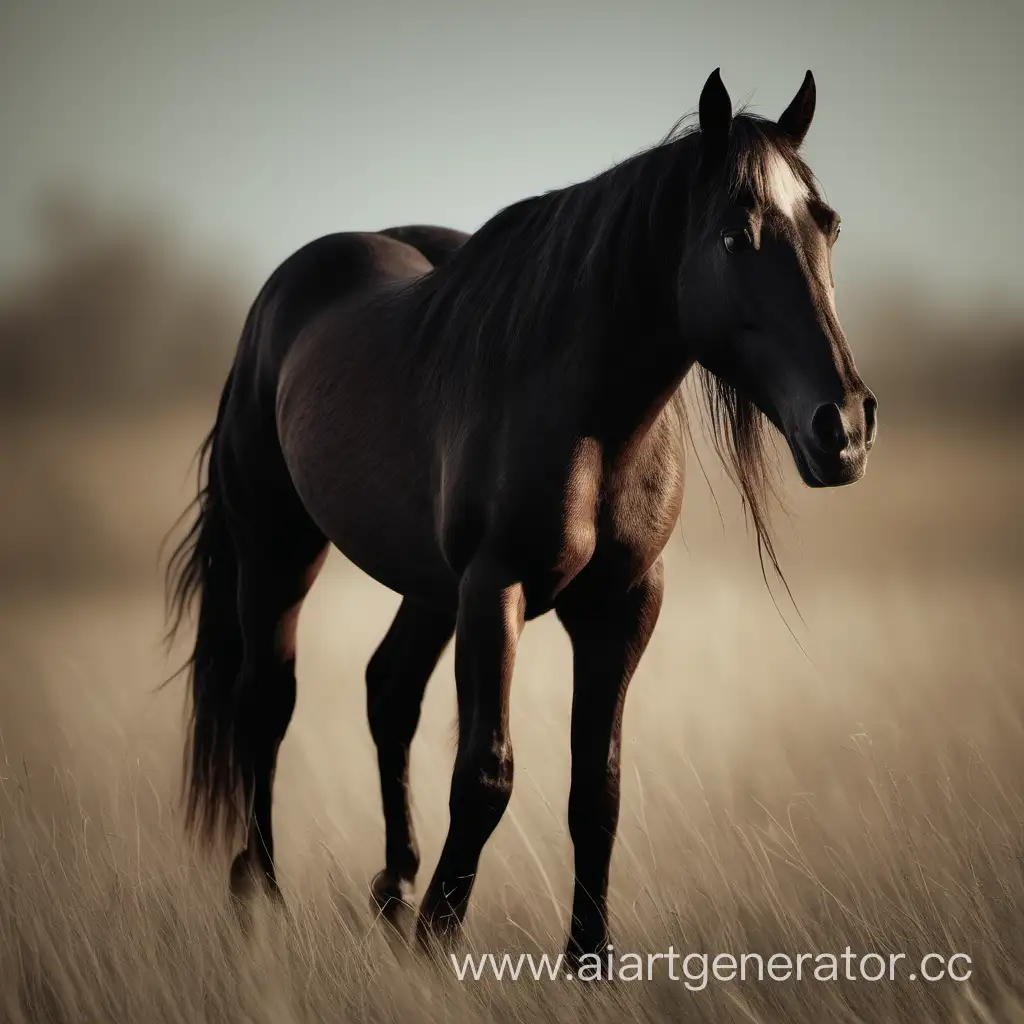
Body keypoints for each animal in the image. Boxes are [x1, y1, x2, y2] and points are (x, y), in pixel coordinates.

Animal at [163, 66, 876, 958]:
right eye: (732, 237)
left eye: (829, 223)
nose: (843, 427)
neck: (589, 415)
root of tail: (282, 294)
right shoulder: (494, 588)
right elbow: (485, 775)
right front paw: (437, 941)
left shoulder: (622, 603)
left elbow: (596, 787)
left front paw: (589, 958)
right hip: (280, 550)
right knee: (267, 702)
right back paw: (261, 893)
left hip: (427, 586)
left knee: (388, 691)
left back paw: (393, 884)